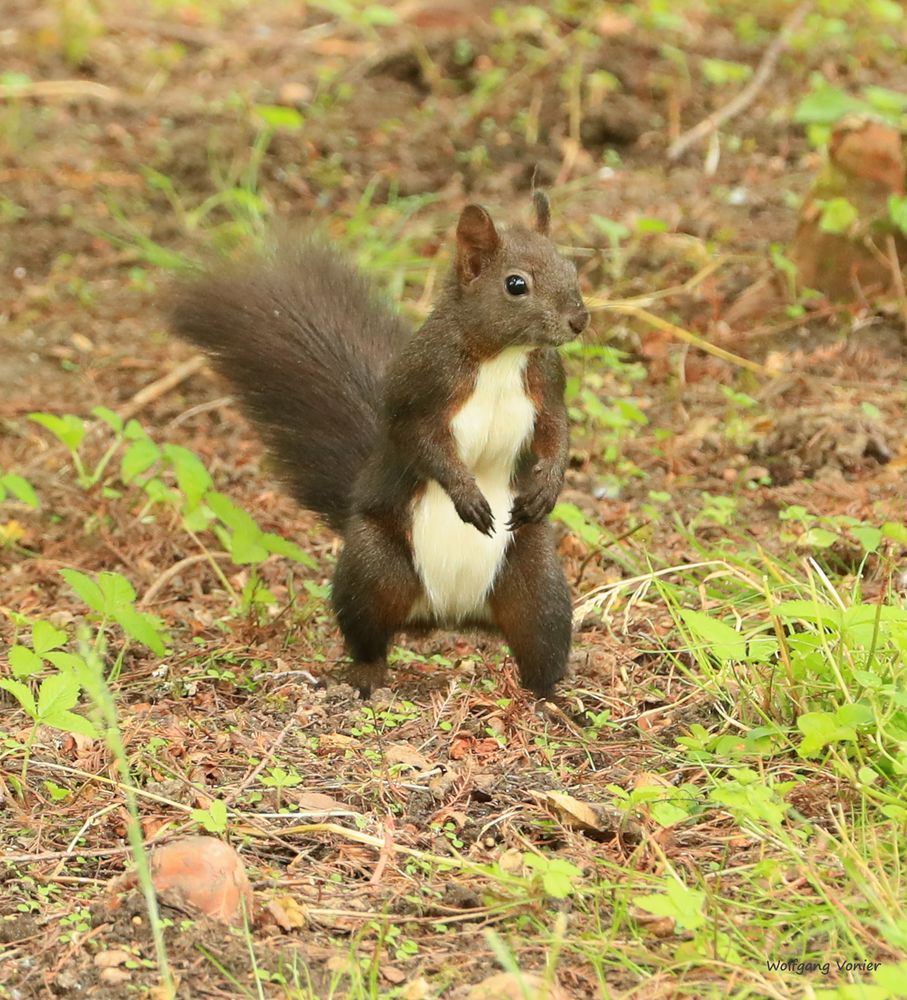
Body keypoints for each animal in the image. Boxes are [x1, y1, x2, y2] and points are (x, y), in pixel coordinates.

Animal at [172, 195, 588, 696]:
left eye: (571, 267)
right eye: (516, 284)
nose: (579, 320)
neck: (501, 357)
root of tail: (448, 614)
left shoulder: (547, 384)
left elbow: (557, 433)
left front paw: (547, 488)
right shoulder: (420, 389)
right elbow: (420, 443)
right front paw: (466, 495)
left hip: (537, 583)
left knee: (540, 643)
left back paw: (548, 699)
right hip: (372, 569)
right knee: (368, 634)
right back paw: (366, 678)